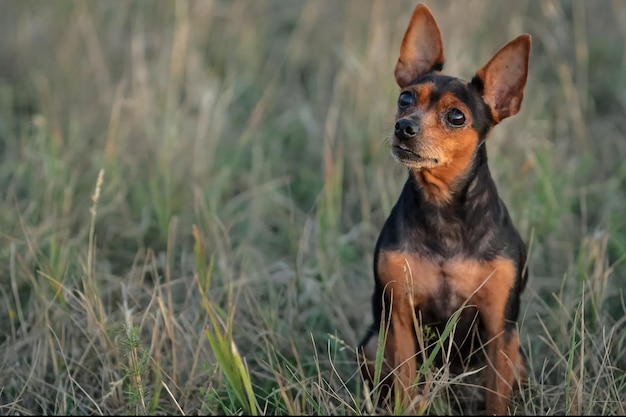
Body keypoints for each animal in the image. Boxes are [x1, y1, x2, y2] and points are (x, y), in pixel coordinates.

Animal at [358, 4, 528, 416]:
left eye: (456, 117)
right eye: (405, 99)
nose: (404, 127)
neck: (444, 209)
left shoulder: (501, 328)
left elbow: (497, 398)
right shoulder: (400, 319)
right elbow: (404, 385)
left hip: (518, 358)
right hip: (372, 343)